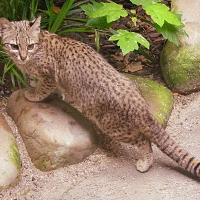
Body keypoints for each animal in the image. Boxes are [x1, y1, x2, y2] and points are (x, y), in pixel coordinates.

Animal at [0, 16, 200, 177]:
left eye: (30, 46)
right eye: (14, 46)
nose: (23, 57)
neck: (39, 45)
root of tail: (138, 103)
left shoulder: (48, 76)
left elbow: (42, 89)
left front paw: (32, 94)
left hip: (112, 126)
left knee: (144, 140)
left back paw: (145, 162)